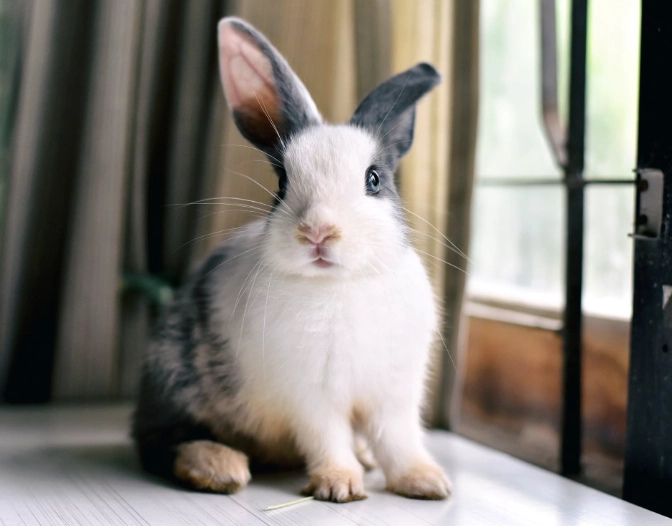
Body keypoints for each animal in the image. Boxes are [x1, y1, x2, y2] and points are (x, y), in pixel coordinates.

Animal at [132, 16, 451, 503]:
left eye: (374, 179)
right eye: (281, 183)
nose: (317, 232)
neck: (340, 285)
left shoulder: (394, 394)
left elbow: (399, 440)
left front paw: (427, 483)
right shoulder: (311, 396)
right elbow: (328, 438)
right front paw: (339, 486)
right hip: (174, 379)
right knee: (160, 441)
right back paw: (219, 466)